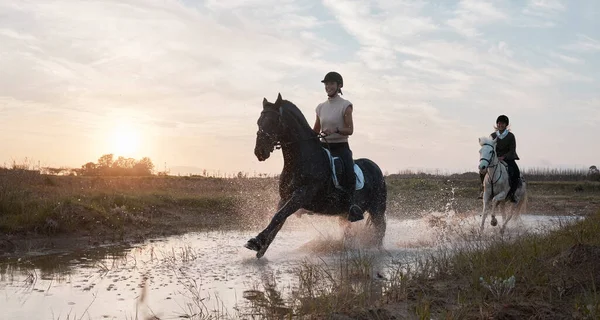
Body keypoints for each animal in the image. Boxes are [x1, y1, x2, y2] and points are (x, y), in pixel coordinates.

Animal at [245, 94, 390, 258]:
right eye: (259, 122)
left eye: (273, 121)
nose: (259, 151)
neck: (302, 160)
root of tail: (376, 168)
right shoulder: (285, 198)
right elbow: (278, 219)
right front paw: (261, 247)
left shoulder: (301, 195)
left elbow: (278, 217)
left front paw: (256, 241)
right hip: (345, 214)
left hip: (377, 208)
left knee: (380, 229)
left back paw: (376, 250)